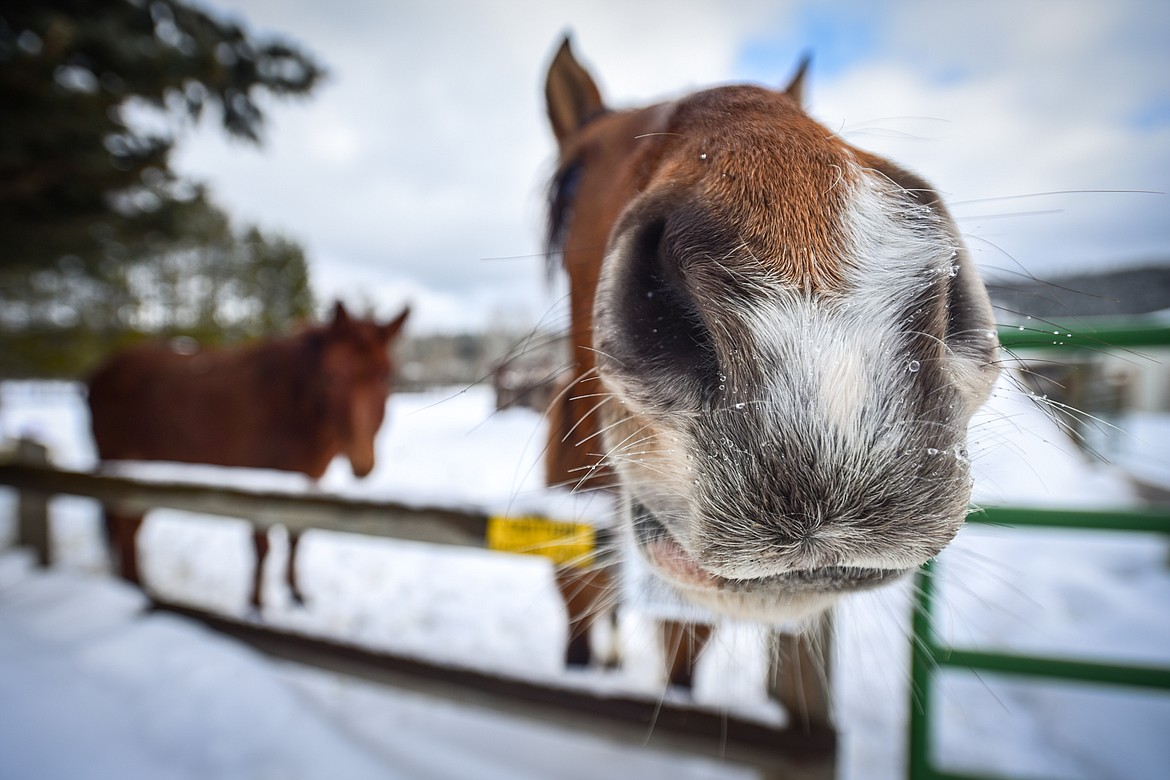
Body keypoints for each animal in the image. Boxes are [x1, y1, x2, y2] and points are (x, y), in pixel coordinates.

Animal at [86, 301, 409, 608]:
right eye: (331, 376)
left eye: (386, 377)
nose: (362, 461)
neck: (291, 408)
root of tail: (103, 370)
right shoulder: (259, 489)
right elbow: (262, 548)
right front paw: (256, 605)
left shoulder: (307, 484)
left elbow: (297, 537)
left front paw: (296, 594)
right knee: (125, 525)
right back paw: (135, 586)